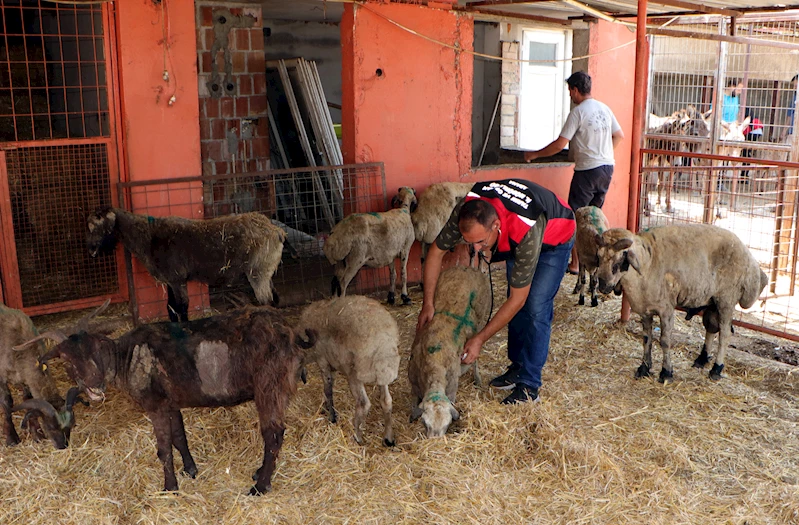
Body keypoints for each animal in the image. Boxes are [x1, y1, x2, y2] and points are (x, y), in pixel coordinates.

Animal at [296, 294, 400, 446]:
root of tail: (382, 344)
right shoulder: (332, 365)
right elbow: (328, 388)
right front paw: (325, 408)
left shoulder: (323, 361)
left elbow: (328, 389)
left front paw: (332, 417)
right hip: (383, 375)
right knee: (386, 401)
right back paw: (389, 438)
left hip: (355, 374)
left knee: (363, 404)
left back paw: (357, 437)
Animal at [410, 264, 490, 436]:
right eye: (425, 423)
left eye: (447, 425)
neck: (435, 359)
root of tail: (468, 267)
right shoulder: (413, 380)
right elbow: (413, 401)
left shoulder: (452, 386)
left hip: (480, 323)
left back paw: (477, 378)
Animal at [592, 224, 768, 380]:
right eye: (599, 257)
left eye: (620, 259)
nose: (603, 286)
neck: (648, 262)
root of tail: (751, 260)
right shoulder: (645, 310)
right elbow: (646, 339)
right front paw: (644, 368)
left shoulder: (666, 309)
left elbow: (664, 341)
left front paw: (666, 372)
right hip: (712, 300)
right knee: (711, 326)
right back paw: (702, 359)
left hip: (726, 298)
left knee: (725, 333)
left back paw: (716, 369)